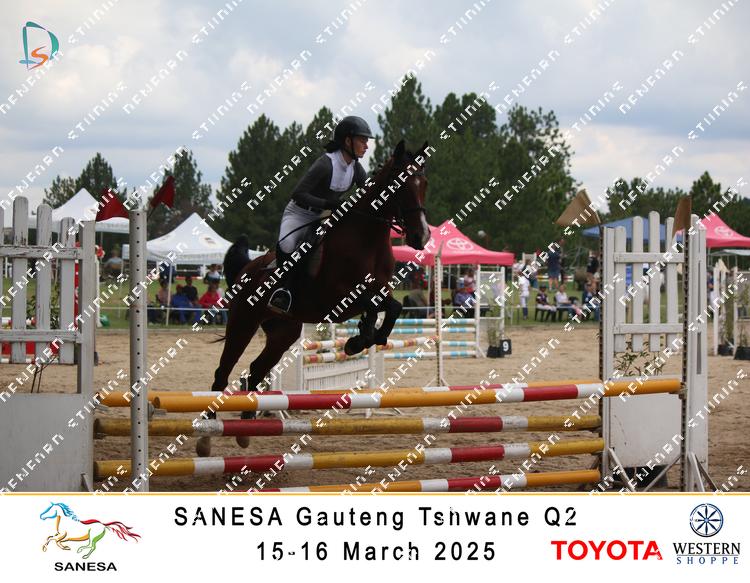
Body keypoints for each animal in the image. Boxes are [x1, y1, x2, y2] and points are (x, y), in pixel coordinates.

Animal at [203, 140, 431, 454]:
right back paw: (207, 432)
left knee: (255, 370)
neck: (367, 238)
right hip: (243, 324)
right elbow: (380, 305)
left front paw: (362, 338)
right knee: (222, 372)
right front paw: (359, 339)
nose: (422, 236)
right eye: (401, 185)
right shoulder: (340, 297)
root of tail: (247, 269)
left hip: (283, 333)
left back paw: (247, 424)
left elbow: (392, 307)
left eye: (424, 185)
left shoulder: (379, 290)